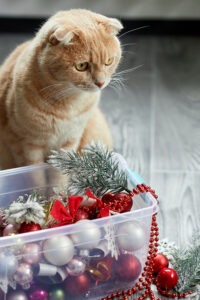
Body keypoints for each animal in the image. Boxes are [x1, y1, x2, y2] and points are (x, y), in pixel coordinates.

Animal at [0, 8, 122, 169]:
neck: (68, 104)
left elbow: (62, 169)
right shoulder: (27, 145)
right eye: (81, 66)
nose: (101, 83)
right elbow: (35, 171)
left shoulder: (70, 141)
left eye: (109, 61)